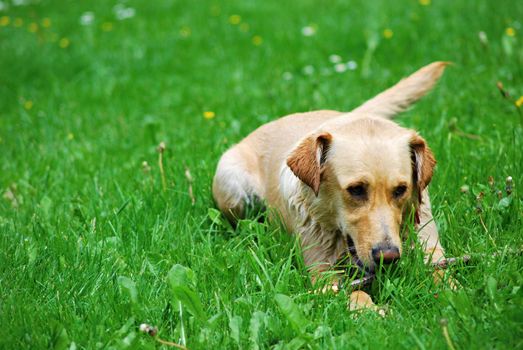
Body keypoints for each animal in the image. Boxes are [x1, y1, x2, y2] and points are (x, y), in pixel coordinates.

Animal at [213, 62, 450, 312]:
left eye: (400, 190)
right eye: (356, 189)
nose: (388, 257)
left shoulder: (431, 249)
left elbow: (444, 276)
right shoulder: (323, 275)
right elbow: (355, 293)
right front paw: (371, 310)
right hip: (232, 186)